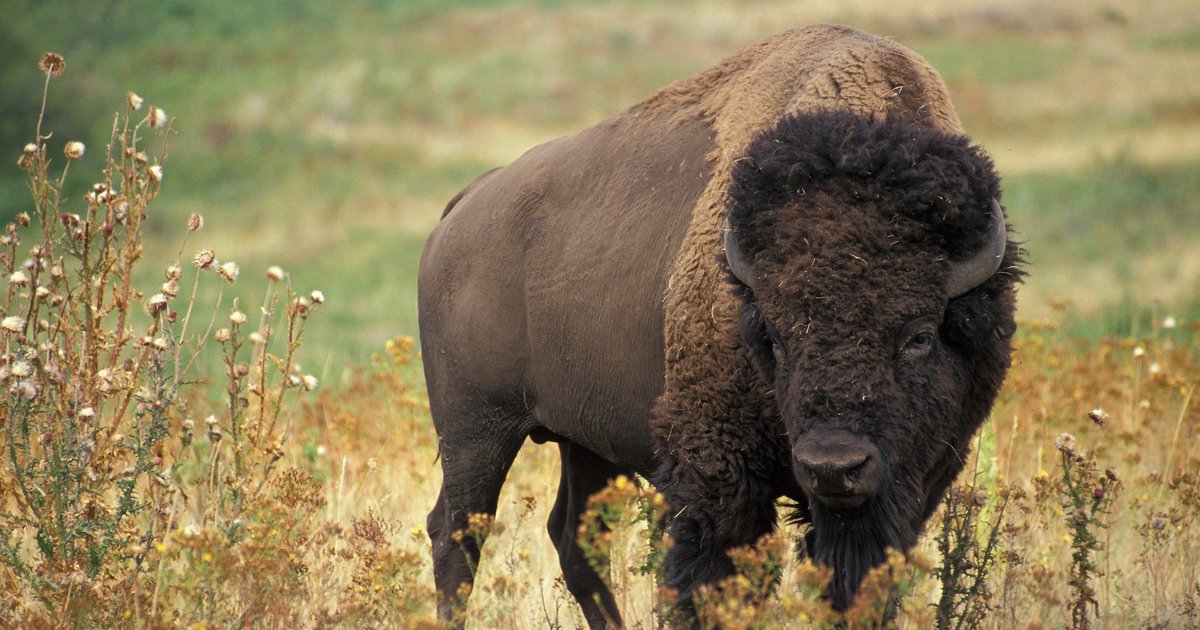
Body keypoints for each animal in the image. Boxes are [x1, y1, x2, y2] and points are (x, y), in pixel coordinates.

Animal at [418, 24, 1022, 627]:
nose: (833, 467)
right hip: (477, 429)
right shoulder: (717, 476)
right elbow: (711, 577)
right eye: (774, 337)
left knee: (572, 539)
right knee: (456, 535)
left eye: (919, 336)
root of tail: (462, 208)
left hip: (583, 440)